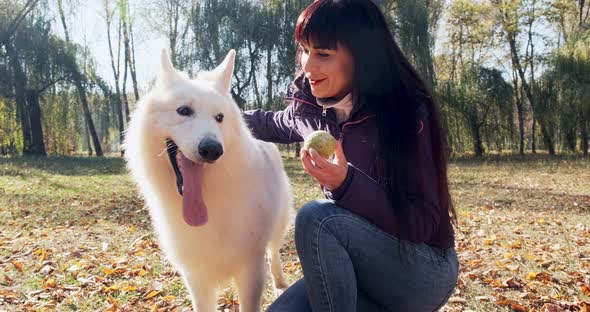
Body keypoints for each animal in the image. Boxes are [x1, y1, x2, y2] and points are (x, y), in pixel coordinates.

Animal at [125, 50, 294, 310]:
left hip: (278, 227)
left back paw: (280, 283)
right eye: (183, 111)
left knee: (273, 253)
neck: (210, 200)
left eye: (219, 118)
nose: (212, 149)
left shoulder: (251, 271)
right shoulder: (196, 278)